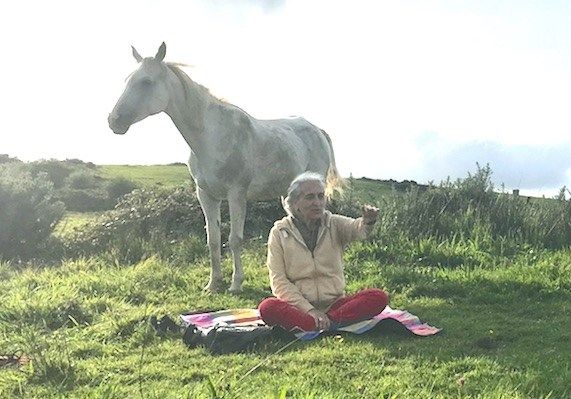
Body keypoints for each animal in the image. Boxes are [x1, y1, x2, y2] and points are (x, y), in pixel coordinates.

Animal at [109, 43, 342, 294]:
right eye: (127, 80)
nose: (114, 120)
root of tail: (317, 130)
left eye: (146, 82)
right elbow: (213, 239)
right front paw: (212, 284)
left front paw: (235, 284)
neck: (211, 137)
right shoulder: (206, 195)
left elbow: (234, 239)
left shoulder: (236, 194)